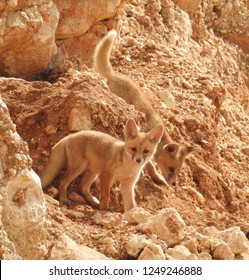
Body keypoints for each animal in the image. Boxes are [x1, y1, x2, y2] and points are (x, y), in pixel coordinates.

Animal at [93, 30, 195, 186]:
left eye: (178, 171)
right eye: (171, 169)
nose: (174, 184)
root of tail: (115, 75)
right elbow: (150, 166)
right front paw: (156, 177)